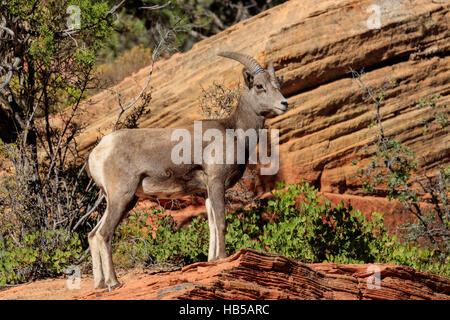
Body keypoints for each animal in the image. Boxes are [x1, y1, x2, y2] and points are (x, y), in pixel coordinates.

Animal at [87, 51, 288, 288]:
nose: (284, 103)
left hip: (122, 200)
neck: (234, 132)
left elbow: (212, 225)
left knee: (92, 235)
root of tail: (98, 152)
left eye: (277, 84)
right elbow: (221, 222)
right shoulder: (217, 183)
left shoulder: (206, 191)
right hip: (122, 197)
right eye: (259, 86)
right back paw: (114, 282)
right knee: (104, 234)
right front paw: (222, 258)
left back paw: (99, 284)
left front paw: (211, 260)